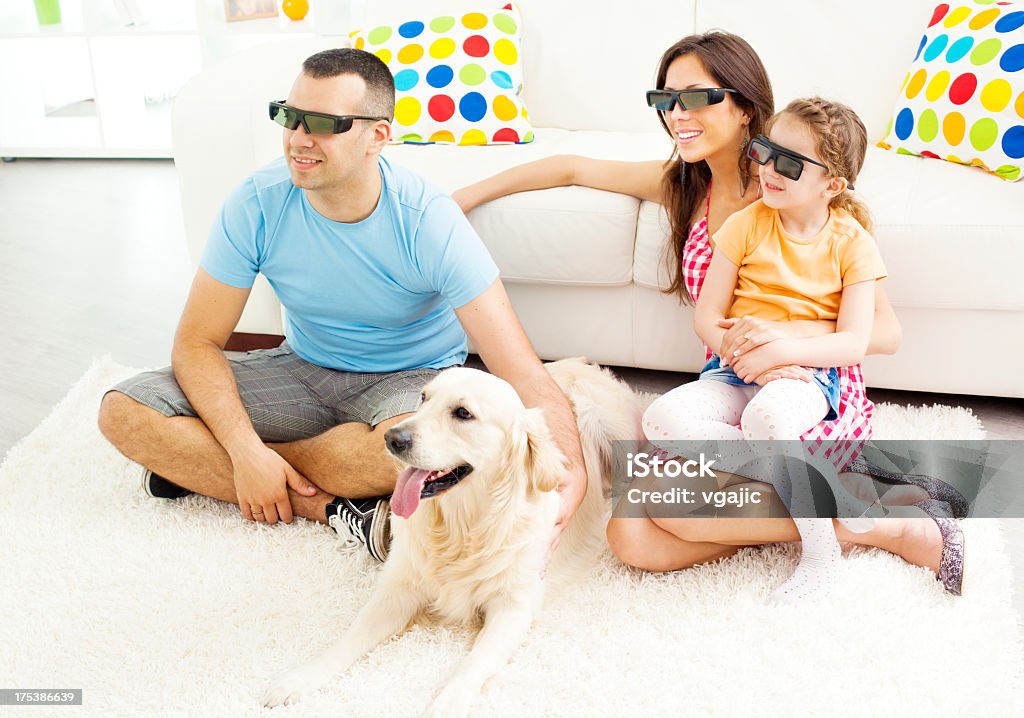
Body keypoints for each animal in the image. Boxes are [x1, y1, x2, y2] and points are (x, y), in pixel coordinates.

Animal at [264, 356, 638, 712]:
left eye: (463, 413)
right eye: (423, 398)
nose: (392, 438)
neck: (461, 528)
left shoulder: (514, 605)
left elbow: (473, 664)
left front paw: (447, 703)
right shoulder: (398, 589)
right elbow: (349, 638)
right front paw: (298, 679)